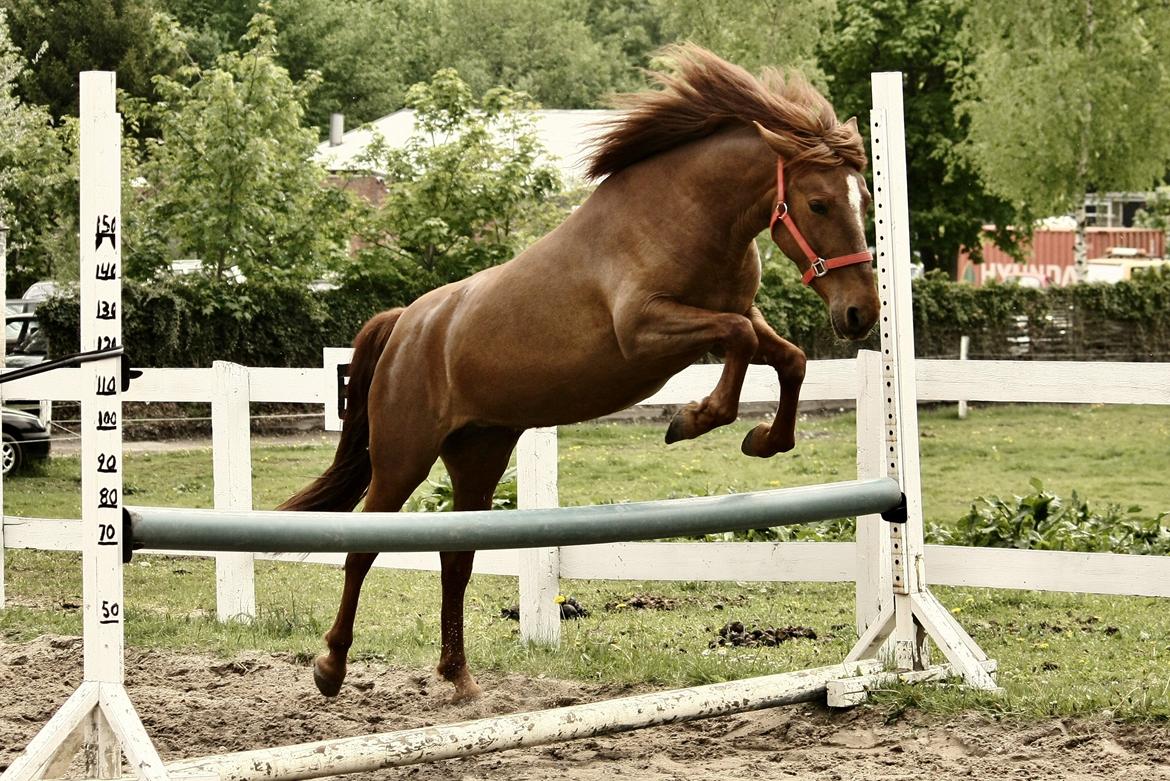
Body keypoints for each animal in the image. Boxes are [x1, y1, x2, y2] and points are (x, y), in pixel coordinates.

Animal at [278, 45, 875, 696]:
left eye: (866, 201)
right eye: (819, 204)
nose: (861, 313)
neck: (682, 216)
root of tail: (407, 323)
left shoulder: (740, 314)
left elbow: (789, 358)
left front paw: (764, 439)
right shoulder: (646, 332)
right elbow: (740, 348)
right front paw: (692, 419)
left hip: (479, 453)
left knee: (456, 557)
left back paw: (459, 677)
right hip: (403, 457)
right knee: (362, 548)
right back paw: (331, 667)